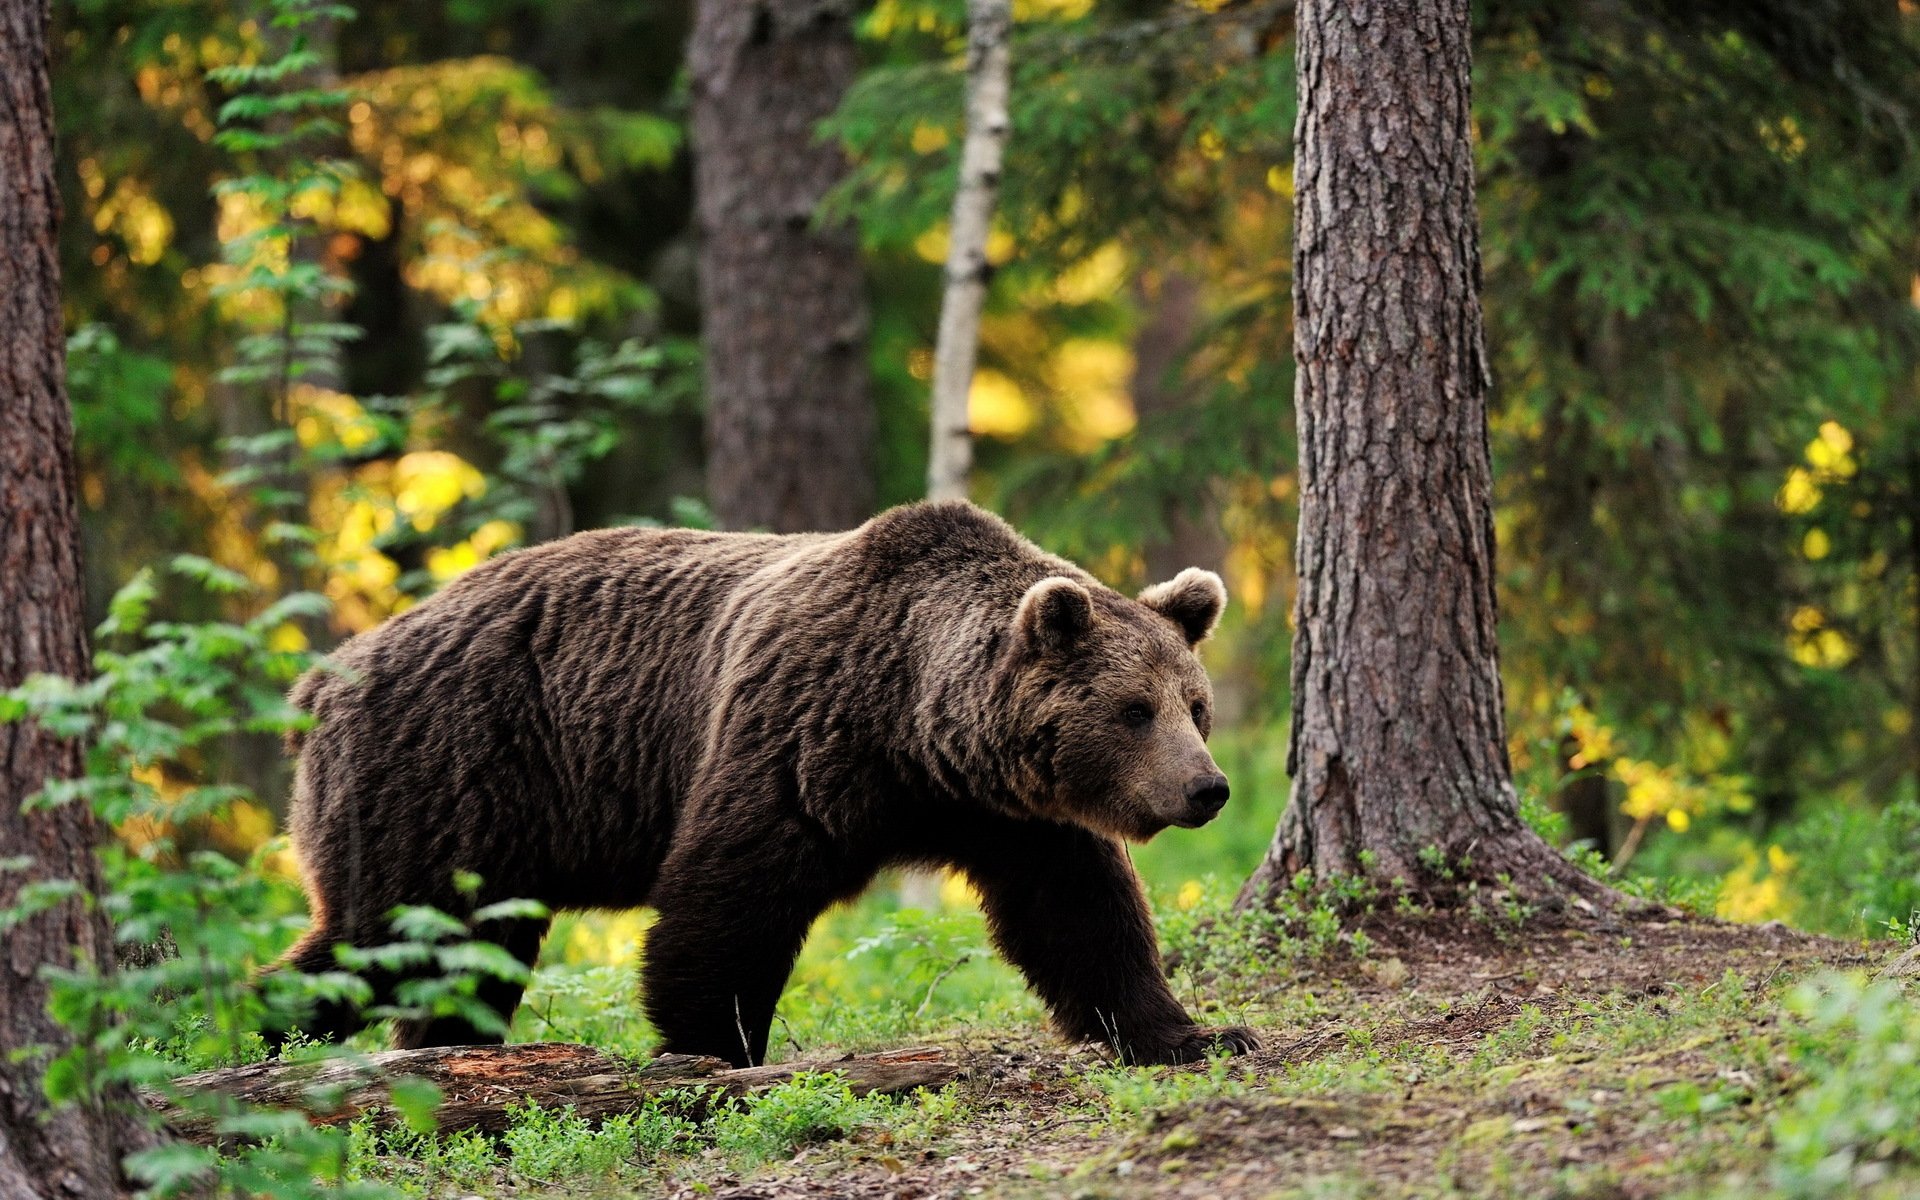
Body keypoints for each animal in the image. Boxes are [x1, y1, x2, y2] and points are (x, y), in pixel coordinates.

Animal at [276, 499, 1256, 1066]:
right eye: (1134, 710)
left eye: (1195, 706)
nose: (1206, 789)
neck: (917, 729)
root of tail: (328, 675)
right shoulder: (801, 736)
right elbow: (731, 895)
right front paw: (714, 1047)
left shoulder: (1011, 814)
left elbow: (1080, 916)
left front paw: (1196, 1032)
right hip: (449, 773)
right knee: (386, 935)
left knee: (460, 959)